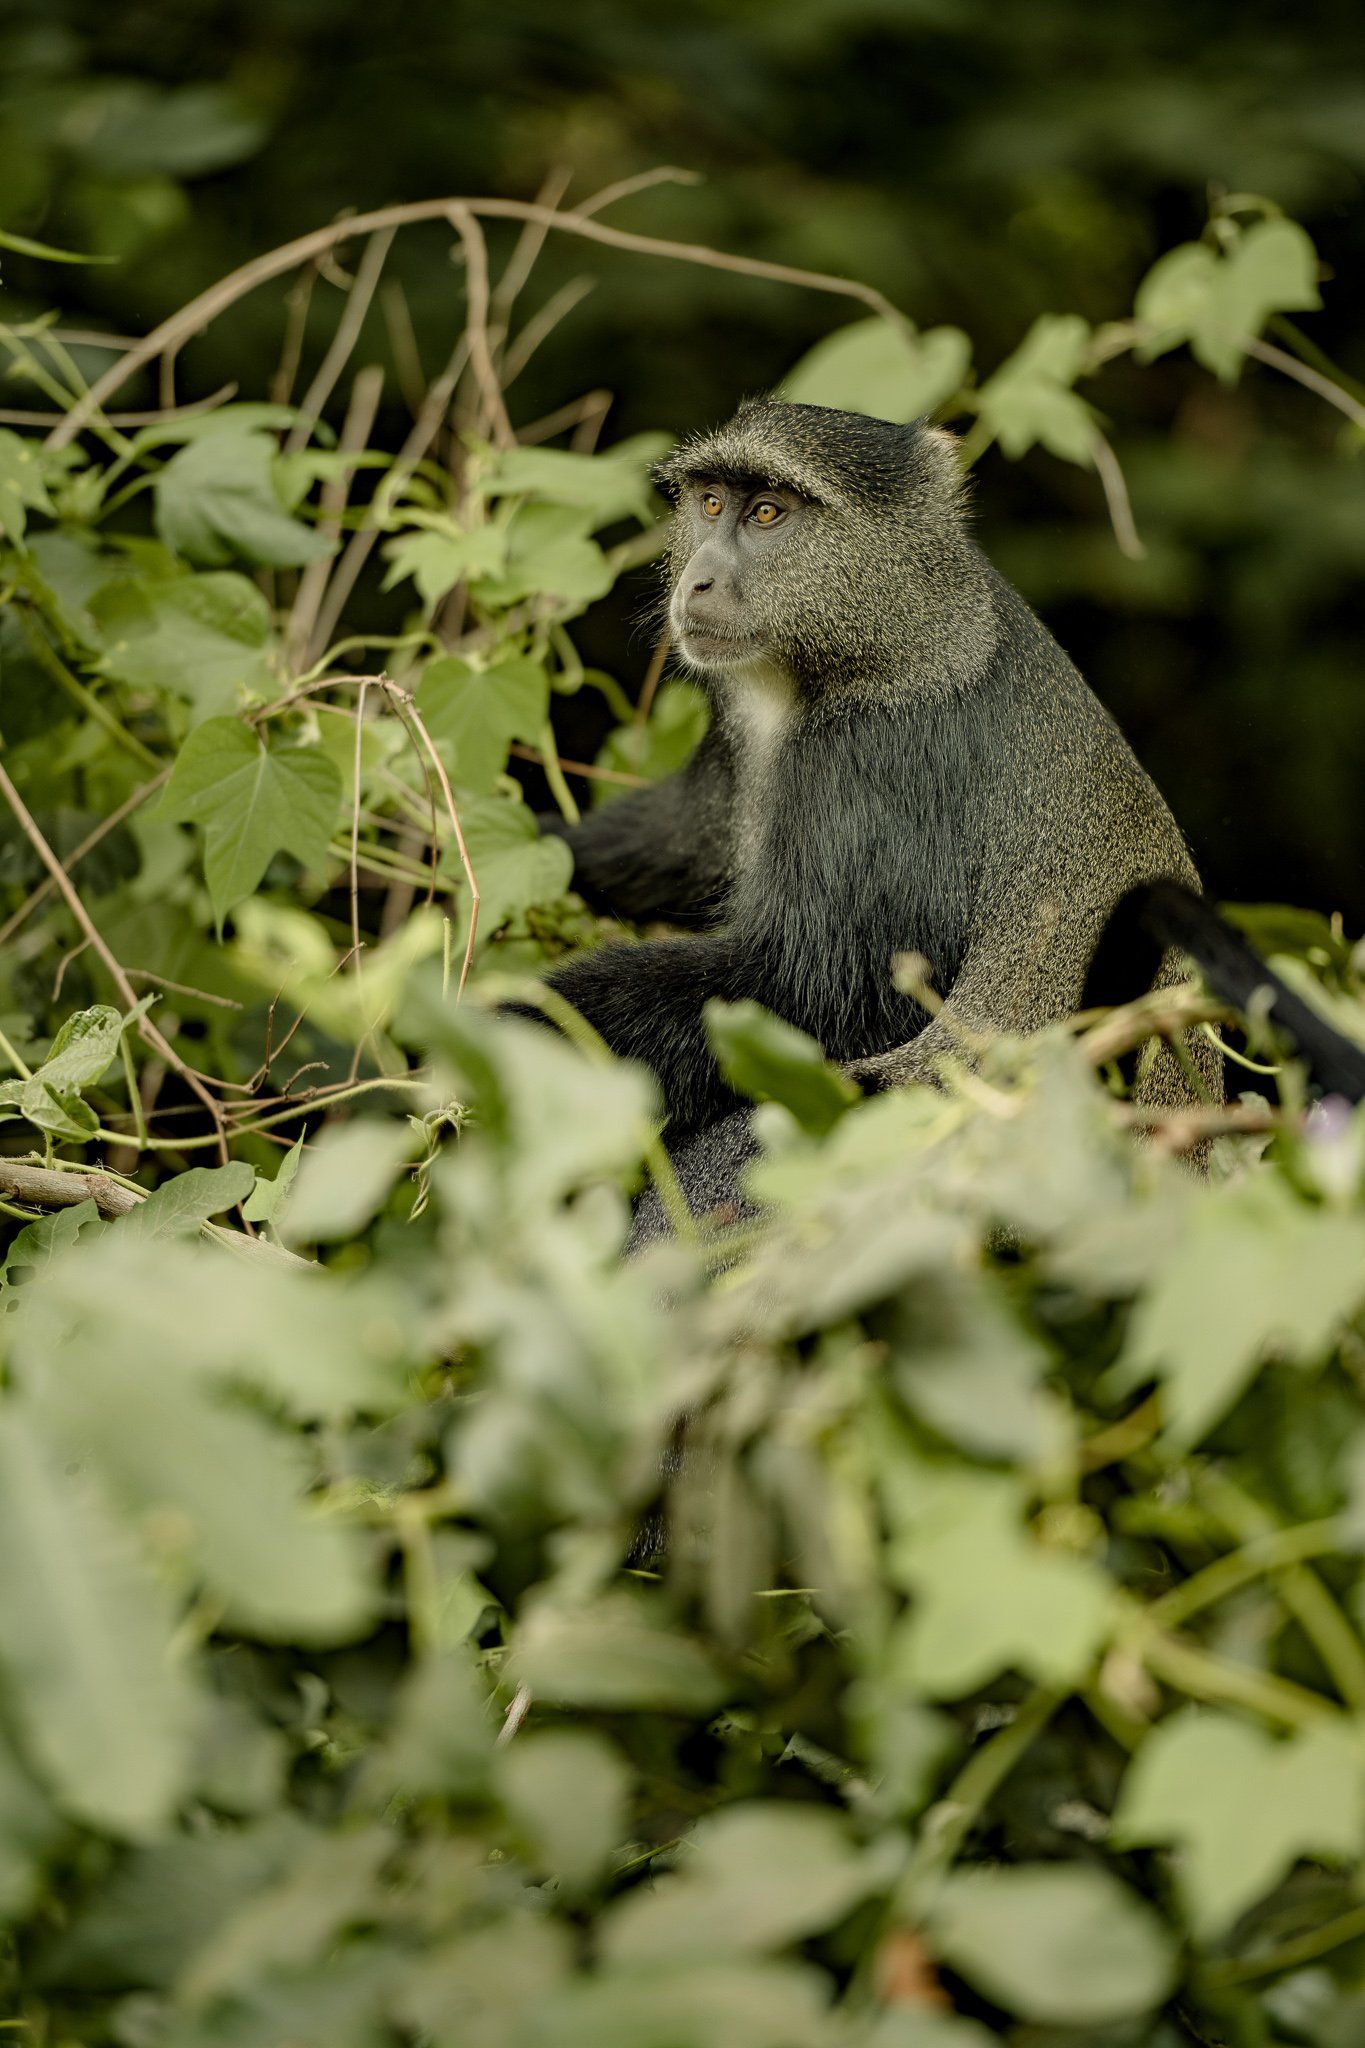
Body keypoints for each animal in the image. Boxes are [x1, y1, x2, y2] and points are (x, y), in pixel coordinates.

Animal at [533, 397, 1222, 1199]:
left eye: (767, 512)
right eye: (710, 503)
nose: (697, 582)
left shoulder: (878, 759)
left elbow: (821, 991)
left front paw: (521, 1021)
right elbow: (687, 844)